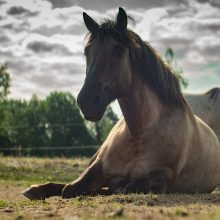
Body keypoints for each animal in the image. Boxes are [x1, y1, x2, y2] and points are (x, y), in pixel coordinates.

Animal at [22, 7, 220, 199]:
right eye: (87, 52)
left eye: (118, 50)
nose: (86, 101)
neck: (138, 133)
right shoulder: (98, 166)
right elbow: (70, 188)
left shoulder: (163, 175)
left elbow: (127, 186)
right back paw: (33, 190)